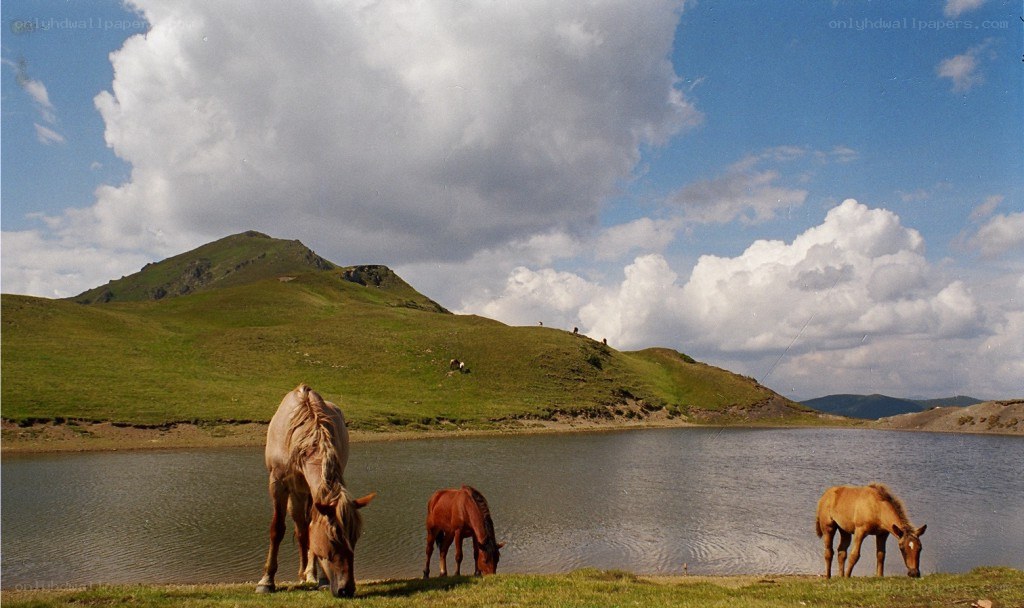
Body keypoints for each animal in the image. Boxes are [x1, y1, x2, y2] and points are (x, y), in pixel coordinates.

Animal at [256, 384, 376, 598]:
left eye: (355, 539)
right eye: (333, 540)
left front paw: (322, 579)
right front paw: (267, 581)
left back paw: (310, 574)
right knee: (301, 528)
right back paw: (304, 575)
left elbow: (312, 529)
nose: (347, 589)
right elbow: (277, 529)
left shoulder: (315, 493)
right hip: (296, 494)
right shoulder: (278, 484)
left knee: (305, 528)